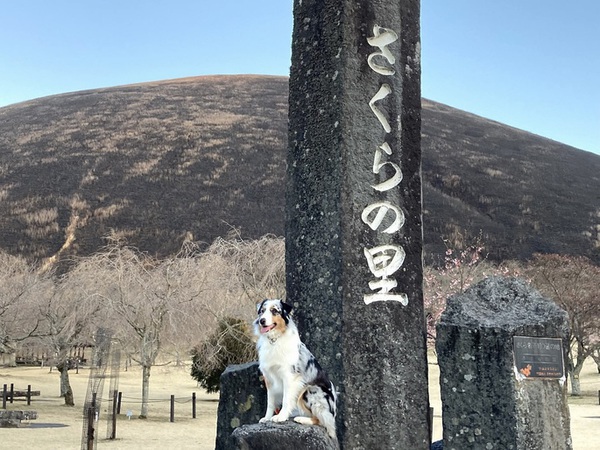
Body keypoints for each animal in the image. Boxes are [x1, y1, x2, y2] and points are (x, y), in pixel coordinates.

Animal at [253, 298, 338, 440]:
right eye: (262, 311)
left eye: (274, 311)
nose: (262, 321)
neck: (275, 340)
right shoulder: (268, 378)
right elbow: (270, 402)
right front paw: (267, 418)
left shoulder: (289, 376)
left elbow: (286, 399)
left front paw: (281, 417)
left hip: (310, 390)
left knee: (322, 421)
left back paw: (301, 419)